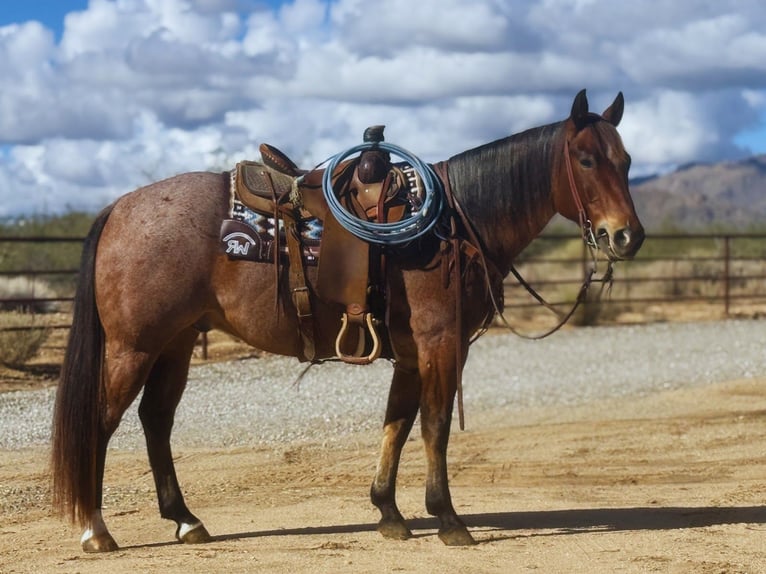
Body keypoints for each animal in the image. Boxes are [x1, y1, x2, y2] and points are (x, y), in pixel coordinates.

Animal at [51, 89, 644, 552]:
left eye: (627, 159)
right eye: (586, 160)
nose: (626, 236)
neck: (453, 224)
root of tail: (120, 208)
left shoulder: (411, 354)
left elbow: (397, 424)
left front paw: (389, 513)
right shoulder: (440, 342)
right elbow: (434, 425)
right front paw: (448, 519)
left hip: (173, 345)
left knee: (156, 421)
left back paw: (186, 521)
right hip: (133, 347)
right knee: (102, 422)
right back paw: (96, 531)